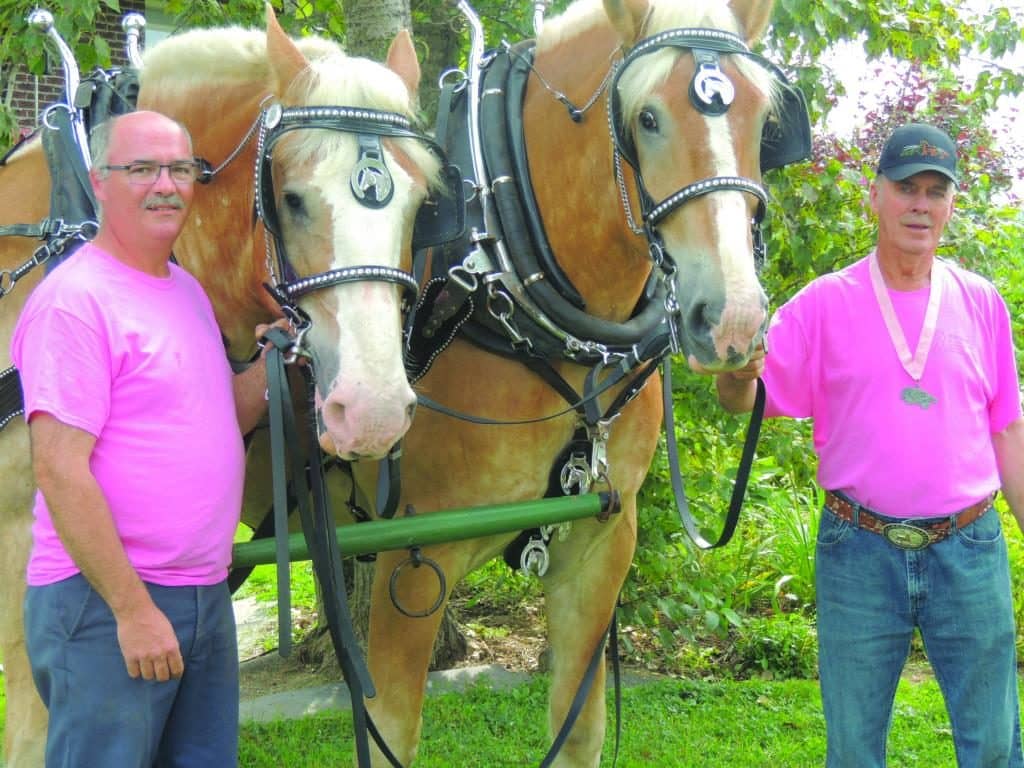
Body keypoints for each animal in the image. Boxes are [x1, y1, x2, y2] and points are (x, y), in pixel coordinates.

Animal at [348, 0, 802, 765]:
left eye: (766, 120)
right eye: (646, 117)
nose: (733, 320)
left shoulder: (599, 546)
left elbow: (578, 727)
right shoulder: (411, 561)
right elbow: (393, 736)